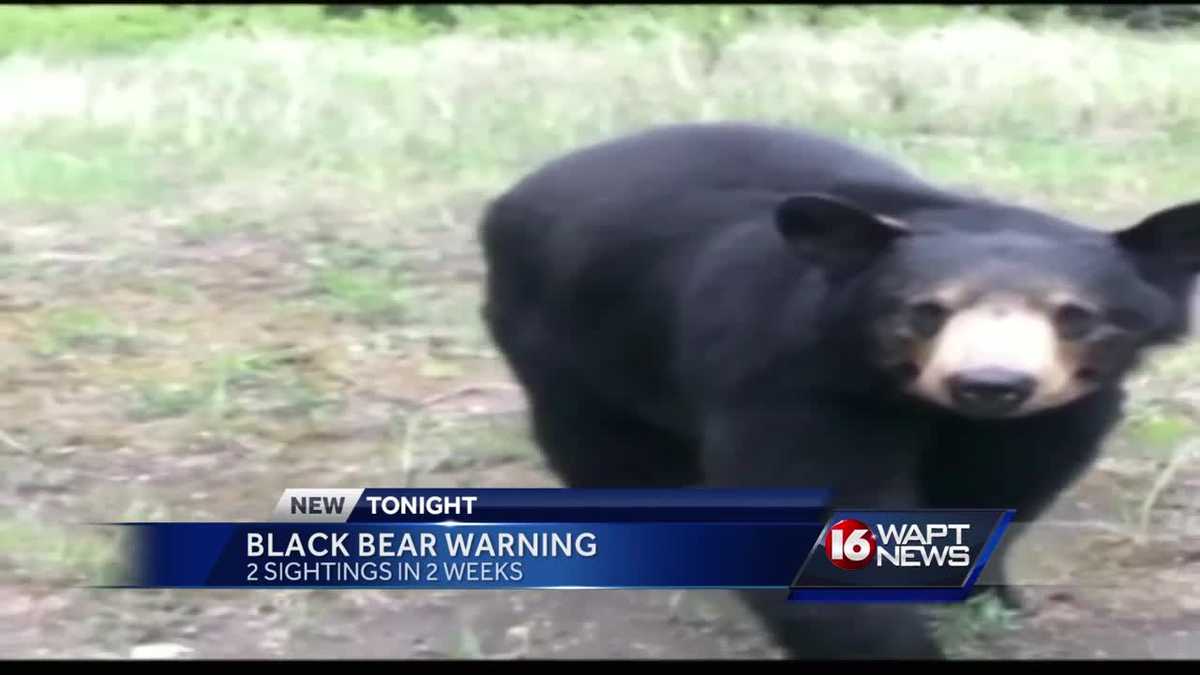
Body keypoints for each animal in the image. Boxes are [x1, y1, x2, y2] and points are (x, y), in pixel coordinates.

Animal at [477, 120, 1200, 658]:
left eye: (1074, 316)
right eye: (925, 310)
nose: (990, 385)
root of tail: (506, 198)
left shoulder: (1058, 410)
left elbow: (1001, 487)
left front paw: (989, 593)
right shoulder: (797, 378)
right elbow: (818, 514)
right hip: (564, 328)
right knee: (600, 440)